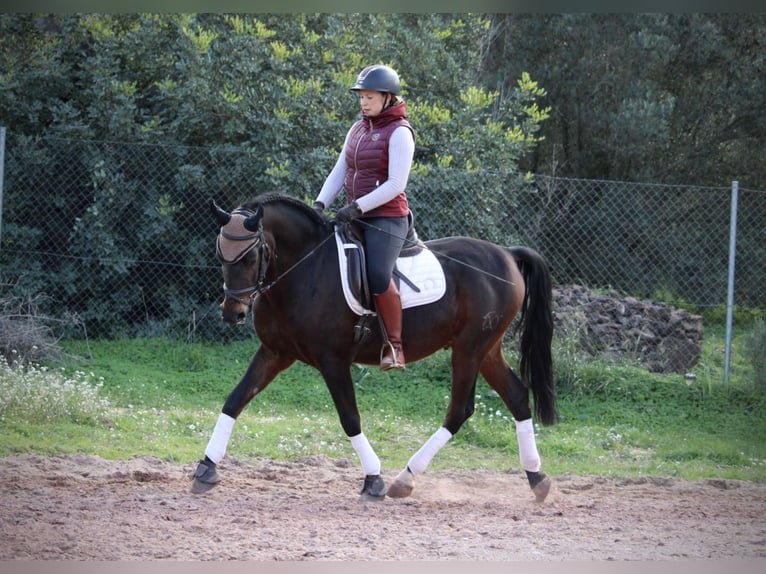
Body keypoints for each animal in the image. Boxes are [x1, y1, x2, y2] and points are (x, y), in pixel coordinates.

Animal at [191, 191, 556, 502]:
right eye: (220, 254)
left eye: (251, 256)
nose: (233, 312)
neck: (305, 269)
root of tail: (507, 254)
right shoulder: (275, 353)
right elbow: (235, 399)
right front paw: (206, 468)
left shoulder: (333, 361)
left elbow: (350, 418)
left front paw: (374, 480)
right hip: (487, 350)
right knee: (516, 396)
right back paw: (537, 479)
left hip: (468, 349)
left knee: (459, 410)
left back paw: (405, 479)